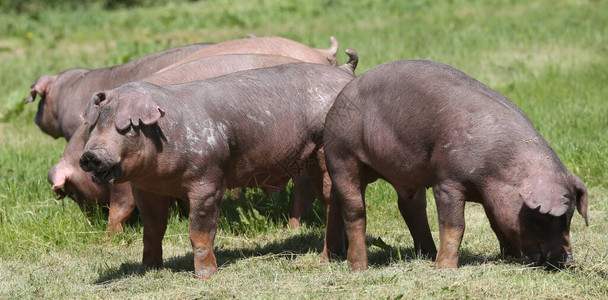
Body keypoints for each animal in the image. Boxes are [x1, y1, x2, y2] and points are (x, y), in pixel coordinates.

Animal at [78, 49, 358, 278]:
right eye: (94, 126)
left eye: (125, 129)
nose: (90, 155)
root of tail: (345, 71)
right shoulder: (147, 188)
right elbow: (153, 228)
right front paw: (149, 269)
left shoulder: (209, 179)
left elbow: (199, 232)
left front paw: (204, 276)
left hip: (327, 151)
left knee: (332, 200)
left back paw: (326, 259)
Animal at [324, 59, 588, 270]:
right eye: (544, 218)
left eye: (569, 218)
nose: (569, 260)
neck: (499, 171)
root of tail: (340, 98)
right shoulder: (447, 181)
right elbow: (454, 225)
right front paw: (445, 269)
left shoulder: (491, 196)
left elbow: (496, 223)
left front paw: (509, 258)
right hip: (341, 155)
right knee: (354, 209)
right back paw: (360, 268)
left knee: (401, 207)